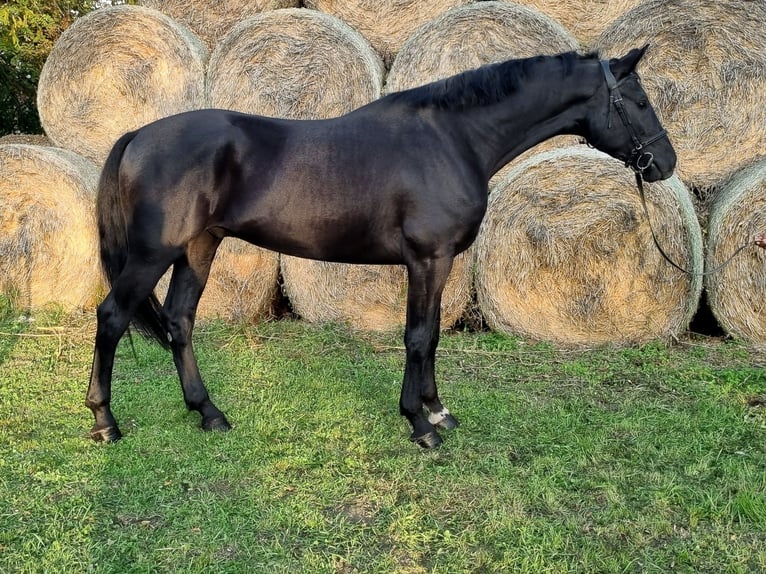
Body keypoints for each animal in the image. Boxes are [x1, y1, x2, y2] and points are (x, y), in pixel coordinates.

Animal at [87, 46, 680, 450]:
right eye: (640, 100)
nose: (666, 163)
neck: (451, 140)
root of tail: (139, 135)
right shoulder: (427, 258)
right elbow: (417, 336)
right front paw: (420, 425)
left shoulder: (441, 263)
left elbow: (433, 335)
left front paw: (438, 412)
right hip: (152, 255)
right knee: (112, 316)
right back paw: (104, 421)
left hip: (199, 248)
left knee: (180, 321)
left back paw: (208, 413)